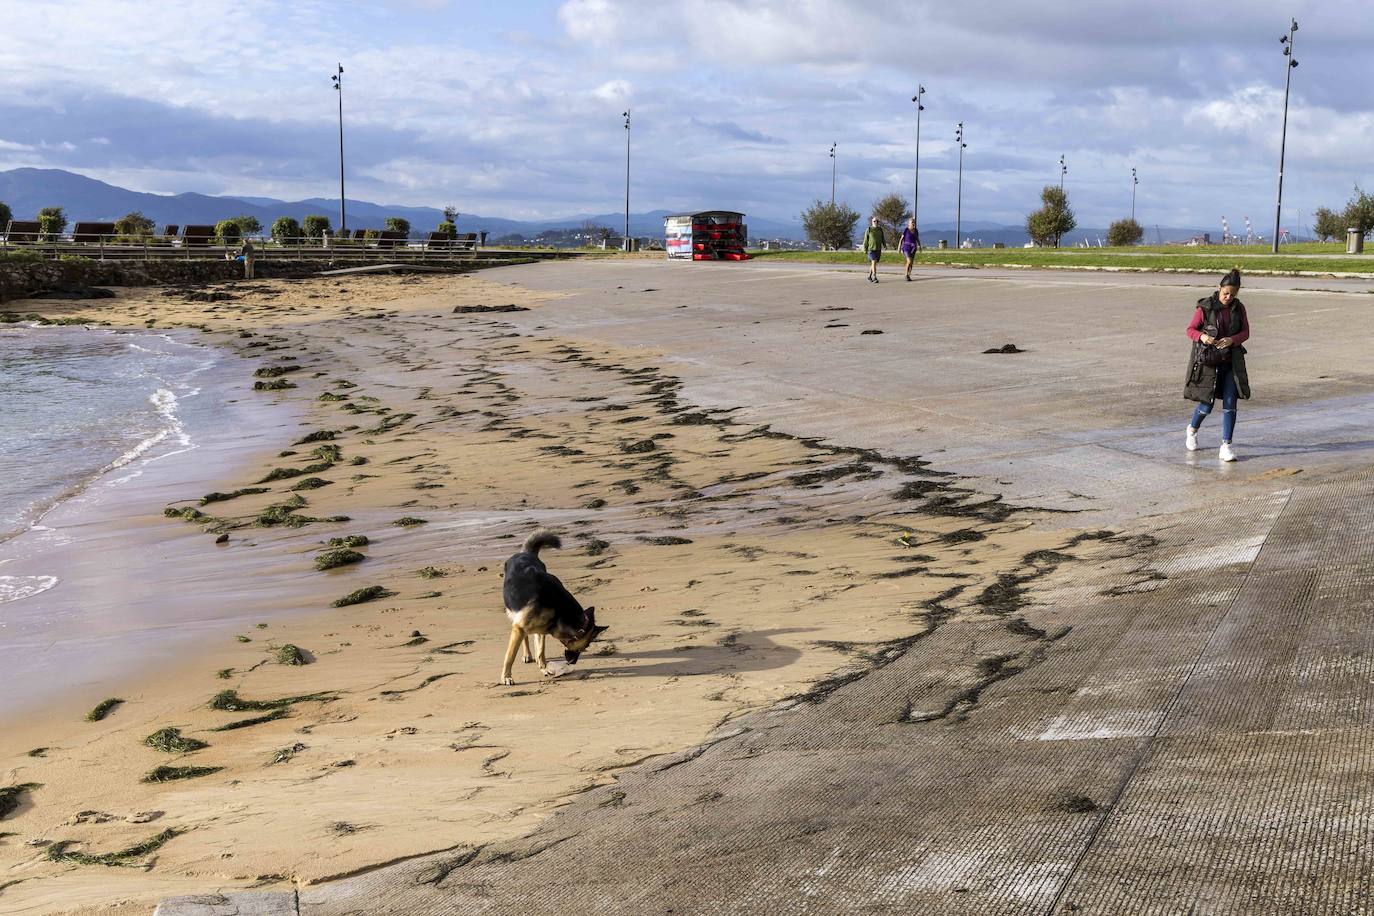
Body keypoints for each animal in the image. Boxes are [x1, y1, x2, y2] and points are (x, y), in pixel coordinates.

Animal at [502, 530, 610, 686]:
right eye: (585, 647)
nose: (572, 662)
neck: (558, 608)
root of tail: (525, 553)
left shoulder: (542, 630)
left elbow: (541, 651)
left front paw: (544, 668)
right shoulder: (520, 626)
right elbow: (510, 656)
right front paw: (506, 676)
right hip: (513, 614)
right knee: (524, 637)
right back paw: (527, 654)